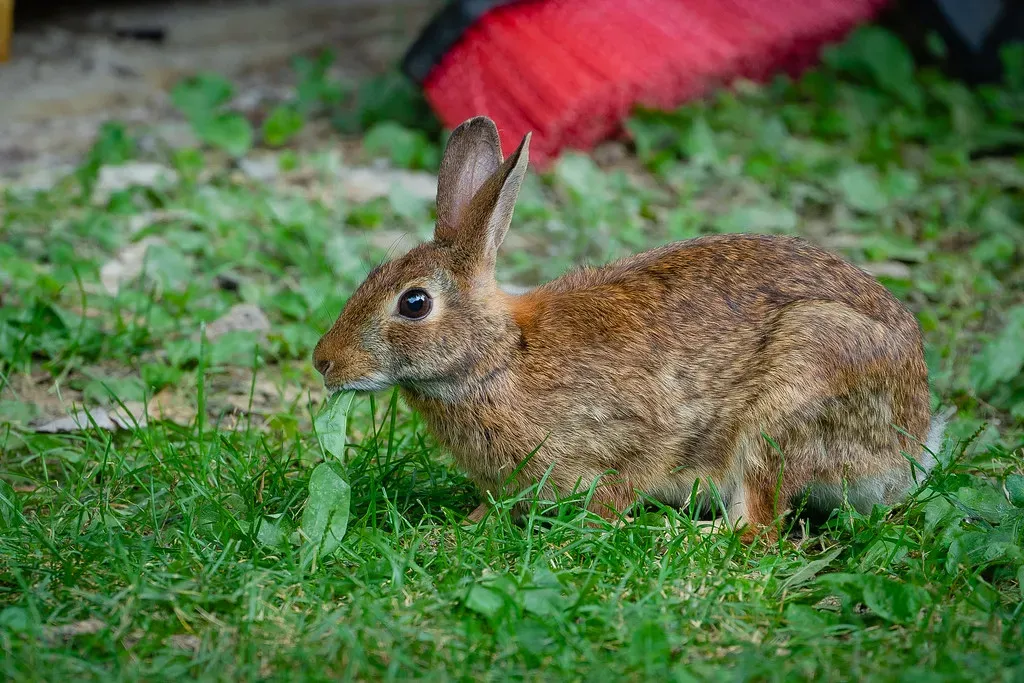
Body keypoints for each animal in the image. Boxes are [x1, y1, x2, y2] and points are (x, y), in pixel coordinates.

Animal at [313, 115, 946, 542]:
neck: (500, 358)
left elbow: (616, 489)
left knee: (757, 531)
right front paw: (461, 526)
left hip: (793, 393)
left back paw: (677, 536)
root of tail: (909, 442)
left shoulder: (617, 445)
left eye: (414, 303)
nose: (324, 361)